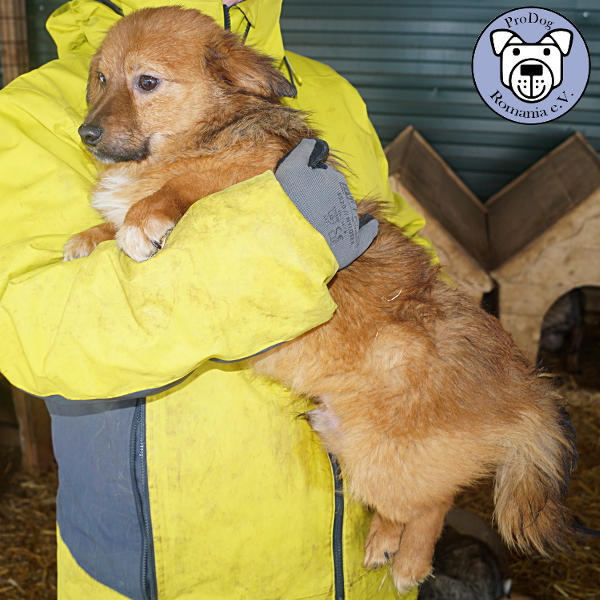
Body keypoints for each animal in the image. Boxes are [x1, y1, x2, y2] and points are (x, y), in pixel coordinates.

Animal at [63, 7, 588, 592]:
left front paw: (141, 218)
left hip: (387, 457)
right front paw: (89, 237)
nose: (86, 133)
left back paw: (410, 563)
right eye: (101, 78)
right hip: (351, 440)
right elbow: (114, 224)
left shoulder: (253, 174)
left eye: (147, 82)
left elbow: (187, 183)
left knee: (434, 503)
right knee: (410, 504)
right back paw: (382, 542)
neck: (197, 137)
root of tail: (522, 391)